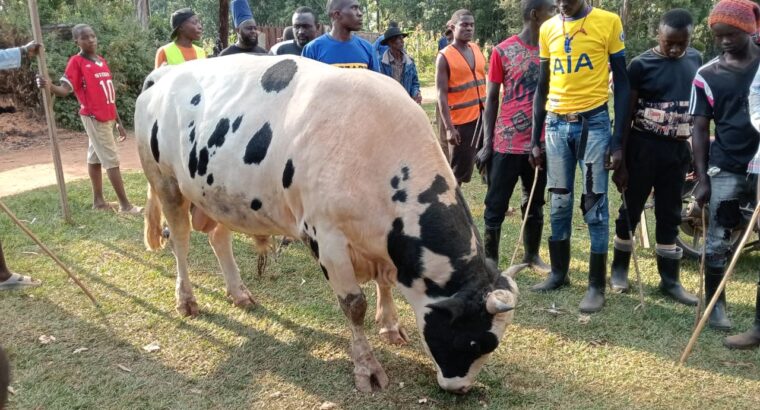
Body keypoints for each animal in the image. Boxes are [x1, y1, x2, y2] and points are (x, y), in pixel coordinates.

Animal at [135, 55, 524, 394]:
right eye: (475, 340)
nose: (460, 389)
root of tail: (165, 73)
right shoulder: (328, 238)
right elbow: (354, 305)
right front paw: (367, 367)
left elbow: (384, 284)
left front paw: (391, 326)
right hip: (165, 182)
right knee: (180, 240)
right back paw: (186, 300)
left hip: (217, 194)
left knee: (219, 237)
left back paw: (239, 292)